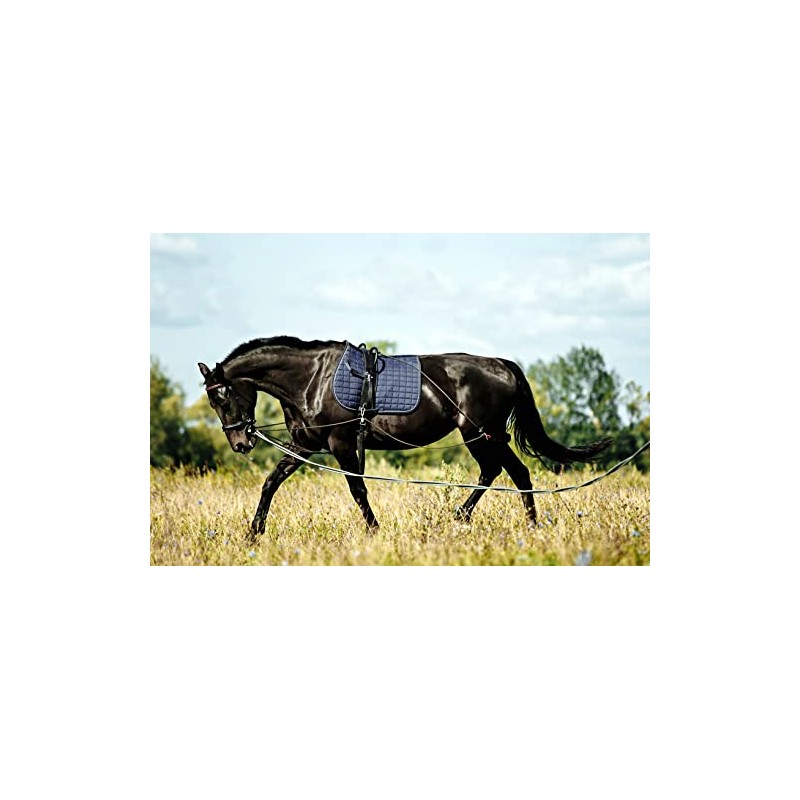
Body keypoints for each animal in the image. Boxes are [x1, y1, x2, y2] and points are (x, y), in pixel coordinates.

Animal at [198, 336, 612, 538]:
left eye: (223, 394)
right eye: (212, 399)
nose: (241, 443)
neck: (311, 379)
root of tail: (502, 365)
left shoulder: (340, 443)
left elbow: (358, 489)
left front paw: (375, 531)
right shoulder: (306, 444)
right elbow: (271, 482)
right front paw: (254, 533)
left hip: (481, 434)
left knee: (501, 472)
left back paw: (466, 518)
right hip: (487, 436)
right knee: (513, 473)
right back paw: (518, 524)